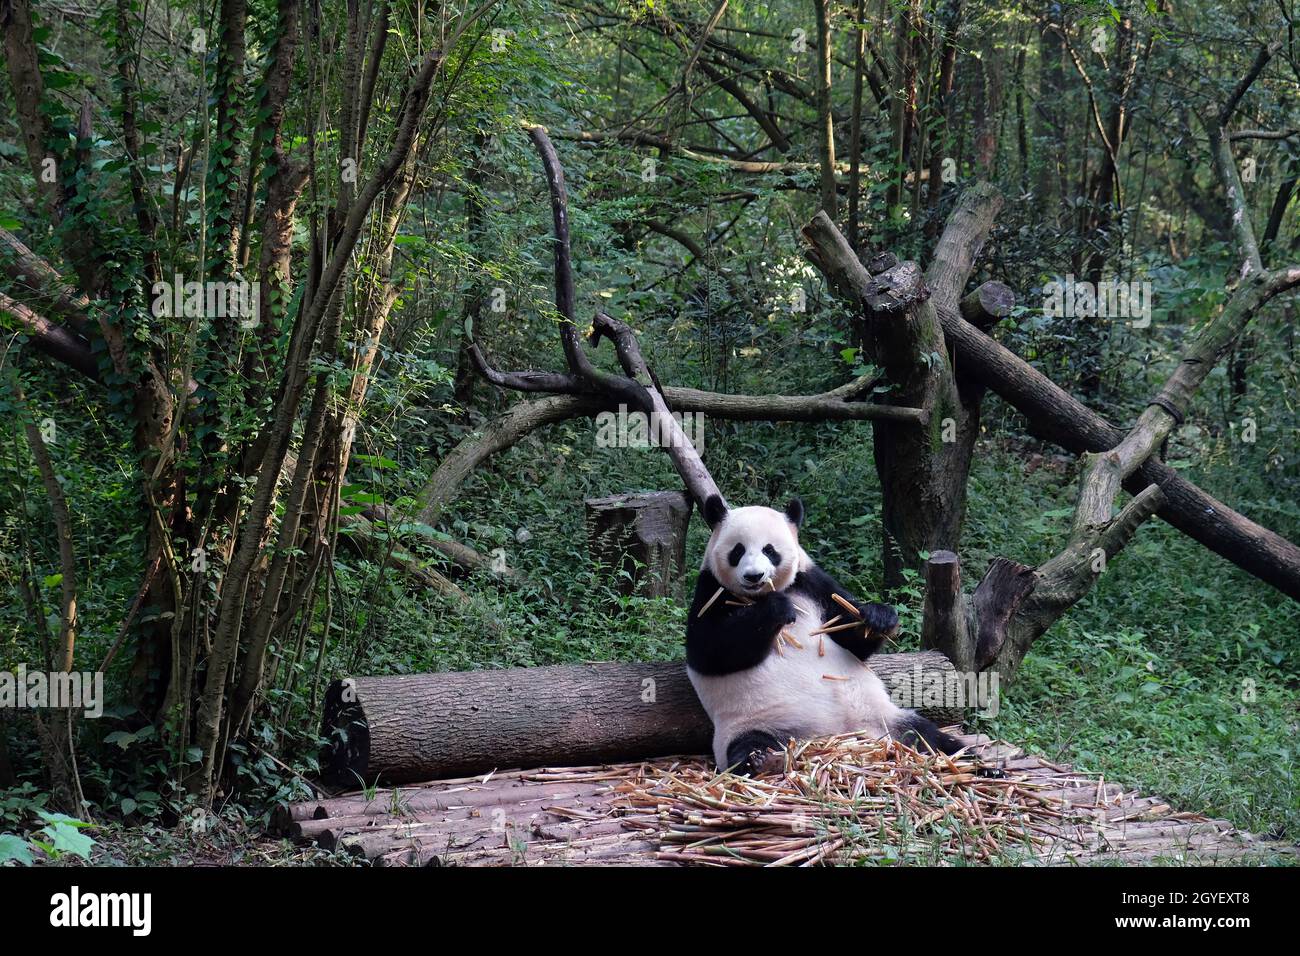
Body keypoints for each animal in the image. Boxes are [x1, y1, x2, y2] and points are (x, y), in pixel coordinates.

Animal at [686, 494, 961, 780]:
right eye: (737, 551)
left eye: (769, 550)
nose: (754, 576)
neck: (756, 596)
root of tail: (838, 735)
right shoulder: (711, 591)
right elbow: (709, 650)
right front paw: (776, 609)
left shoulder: (813, 584)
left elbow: (850, 635)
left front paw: (877, 618)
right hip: (753, 723)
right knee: (748, 745)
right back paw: (760, 760)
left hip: (883, 717)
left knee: (924, 734)